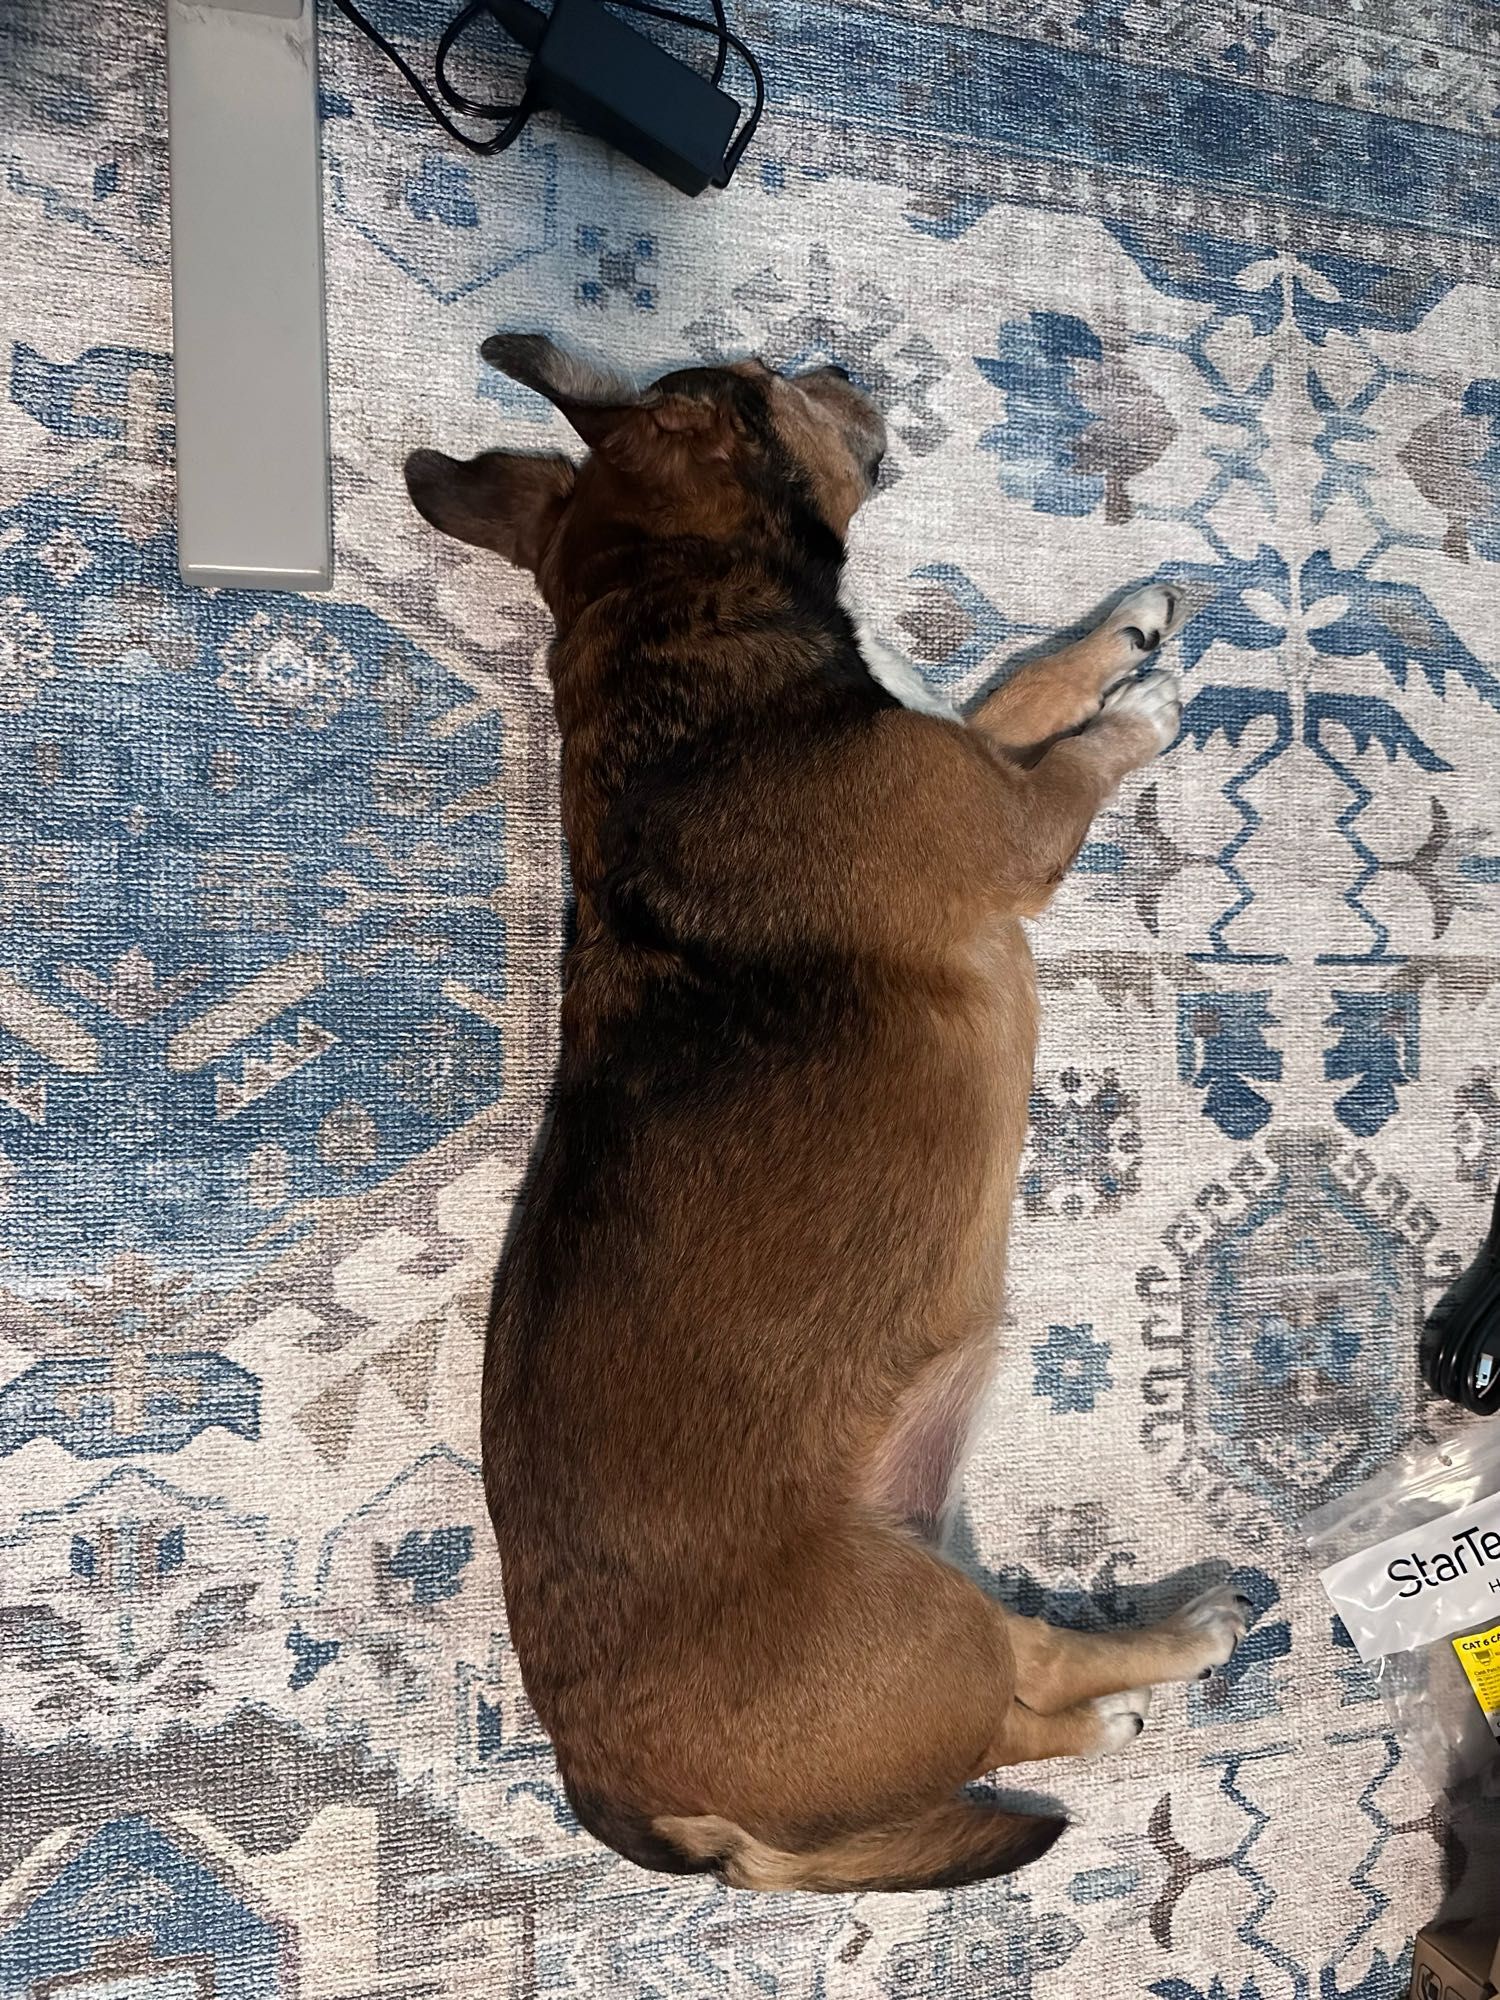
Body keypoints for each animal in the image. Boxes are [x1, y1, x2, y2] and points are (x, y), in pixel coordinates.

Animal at [406, 340, 1248, 1888]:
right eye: (754, 378)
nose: (846, 359)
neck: (674, 654)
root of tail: (635, 1800)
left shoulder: (958, 745)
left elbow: (1017, 687)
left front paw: (1120, 632)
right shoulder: (1014, 828)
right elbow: (1073, 756)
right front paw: (1139, 708)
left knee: (1017, 1708)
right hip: (923, 1626)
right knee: (1031, 1683)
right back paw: (1173, 1637)